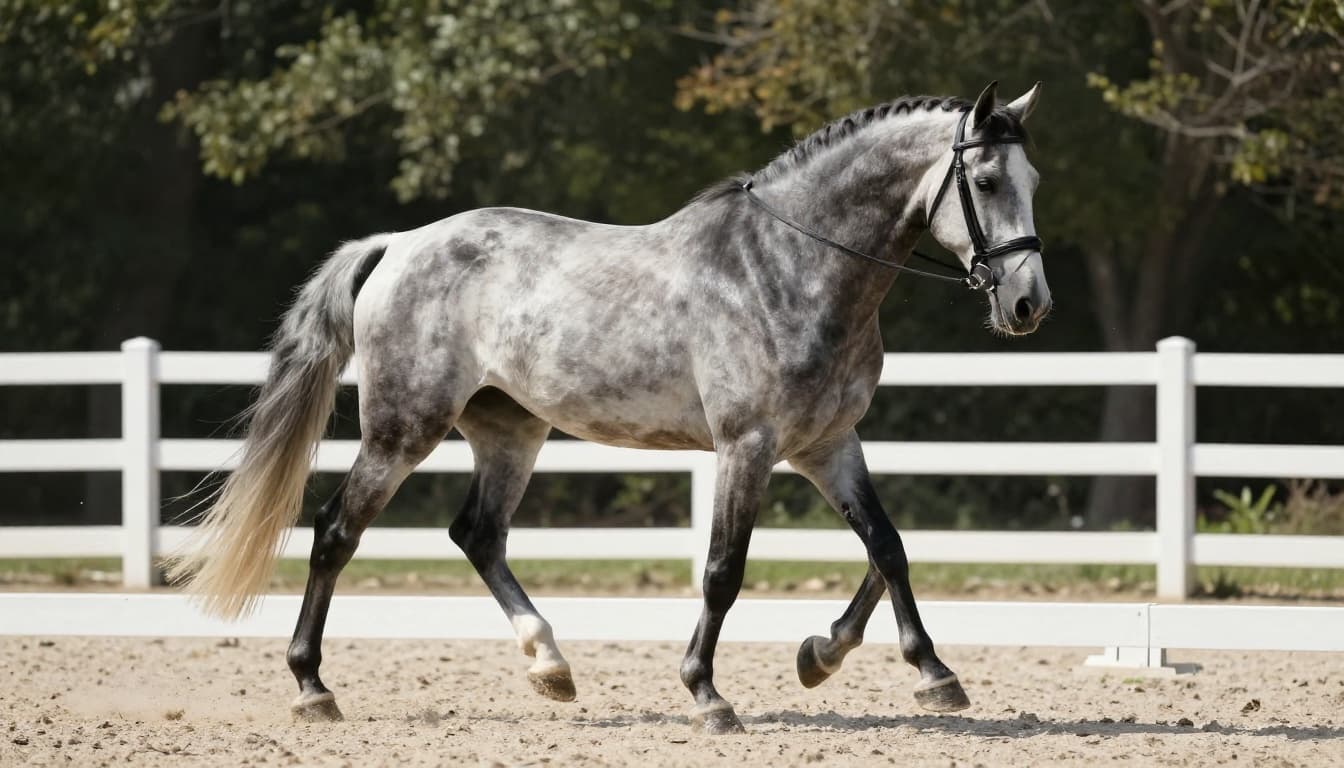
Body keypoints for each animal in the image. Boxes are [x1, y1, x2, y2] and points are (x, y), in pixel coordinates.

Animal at [167, 81, 1049, 735]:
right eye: (985, 182)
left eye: (1032, 183)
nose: (1028, 304)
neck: (794, 264)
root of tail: (398, 245)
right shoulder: (749, 445)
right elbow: (724, 570)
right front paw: (707, 694)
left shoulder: (828, 443)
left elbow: (886, 548)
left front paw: (878, 663)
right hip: (402, 430)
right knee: (335, 534)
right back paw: (313, 687)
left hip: (511, 431)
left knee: (477, 534)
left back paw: (550, 665)